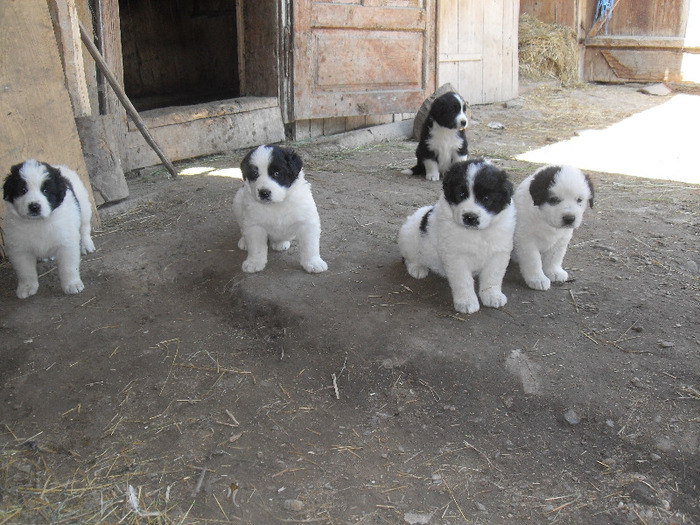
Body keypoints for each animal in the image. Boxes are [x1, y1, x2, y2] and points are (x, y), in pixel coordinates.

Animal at [2, 159, 95, 298]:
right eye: (23, 190)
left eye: (45, 191)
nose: (34, 206)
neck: (38, 223)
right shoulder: (19, 248)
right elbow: (25, 271)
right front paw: (26, 287)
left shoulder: (66, 242)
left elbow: (68, 267)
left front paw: (72, 284)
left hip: (84, 207)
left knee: (84, 227)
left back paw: (87, 245)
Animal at [231, 143, 326, 274]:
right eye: (254, 174)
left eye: (276, 173)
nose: (264, 193)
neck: (276, 204)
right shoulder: (255, 225)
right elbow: (256, 246)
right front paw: (254, 262)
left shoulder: (307, 222)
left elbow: (310, 246)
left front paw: (314, 262)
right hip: (238, 200)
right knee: (243, 228)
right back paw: (244, 241)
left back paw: (280, 243)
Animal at [400, 158, 516, 314]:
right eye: (461, 194)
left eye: (486, 198)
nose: (470, 217)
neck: (477, 233)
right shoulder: (456, 256)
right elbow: (463, 280)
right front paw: (466, 302)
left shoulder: (498, 252)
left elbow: (493, 276)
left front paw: (493, 295)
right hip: (408, 237)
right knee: (410, 258)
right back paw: (418, 269)